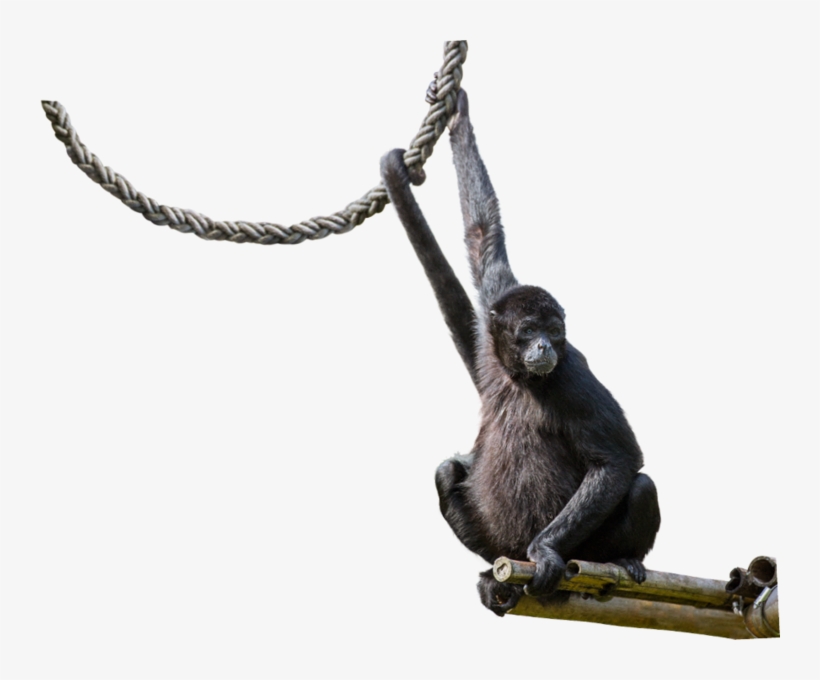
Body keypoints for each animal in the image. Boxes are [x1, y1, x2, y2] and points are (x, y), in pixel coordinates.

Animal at [379, 89, 660, 616]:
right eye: (528, 330)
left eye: (554, 330)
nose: (545, 345)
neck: (518, 379)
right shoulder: (493, 323)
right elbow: (482, 236)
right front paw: (458, 113)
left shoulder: (571, 374)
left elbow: (620, 460)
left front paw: (546, 551)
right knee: (448, 471)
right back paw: (493, 573)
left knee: (641, 484)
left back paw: (620, 559)